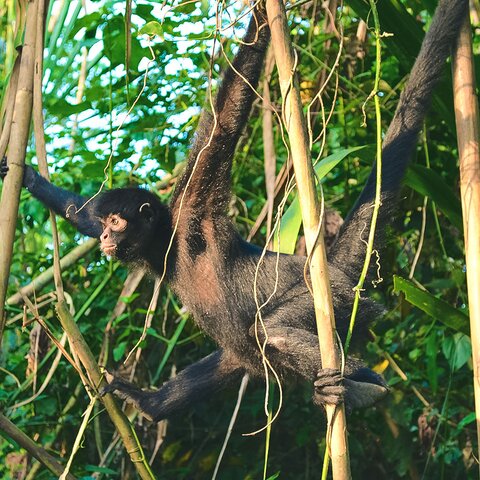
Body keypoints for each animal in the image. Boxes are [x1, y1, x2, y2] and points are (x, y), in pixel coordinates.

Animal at [0, 0, 468, 420]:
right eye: (105, 222)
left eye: (117, 222)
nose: (104, 237)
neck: (171, 248)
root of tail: (328, 266)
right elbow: (76, 211)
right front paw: (24, 175)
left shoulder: (194, 207)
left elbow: (224, 120)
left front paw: (261, 18)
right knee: (241, 353)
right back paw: (152, 404)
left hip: (335, 298)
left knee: (268, 333)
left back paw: (365, 387)